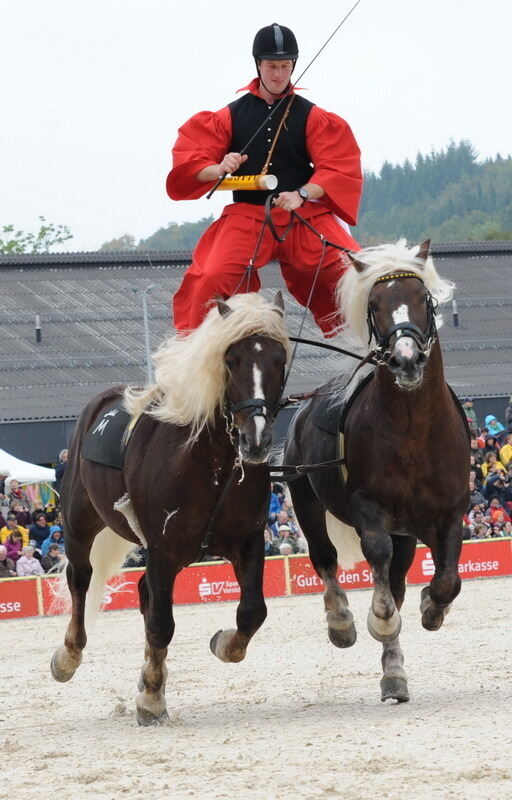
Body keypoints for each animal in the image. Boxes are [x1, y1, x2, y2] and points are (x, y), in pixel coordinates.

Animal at [53, 292, 292, 724]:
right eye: (231, 360)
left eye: (279, 359)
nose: (256, 440)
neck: (210, 464)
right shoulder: (163, 550)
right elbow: (162, 624)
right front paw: (150, 698)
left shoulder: (248, 542)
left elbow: (252, 611)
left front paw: (222, 644)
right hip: (80, 525)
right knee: (81, 580)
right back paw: (69, 655)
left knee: (145, 594)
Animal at [282, 241, 470, 704]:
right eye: (375, 305)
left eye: (424, 300)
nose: (406, 360)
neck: (414, 428)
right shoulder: (370, 507)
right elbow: (379, 567)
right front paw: (379, 619)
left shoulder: (450, 512)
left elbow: (448, 578)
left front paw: (432, 607)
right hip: (304, 494)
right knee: (326, 558)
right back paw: (342, 623)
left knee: (398, 579)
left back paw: (395, 674)